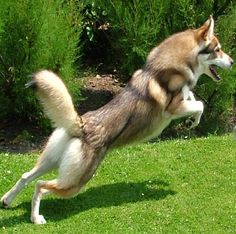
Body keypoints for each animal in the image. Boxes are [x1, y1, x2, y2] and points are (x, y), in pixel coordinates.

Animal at [0, 15, 233, 224]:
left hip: (52, 160)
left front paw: (193, 116)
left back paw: (7, 200)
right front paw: (195, 120)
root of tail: (80, 125)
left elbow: (193, 98)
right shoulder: (172, 109)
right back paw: (35, 218)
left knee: (26, 176)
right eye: (218, 49)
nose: (232, 61)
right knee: (40, 185)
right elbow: (200, 105)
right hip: (75, 182)